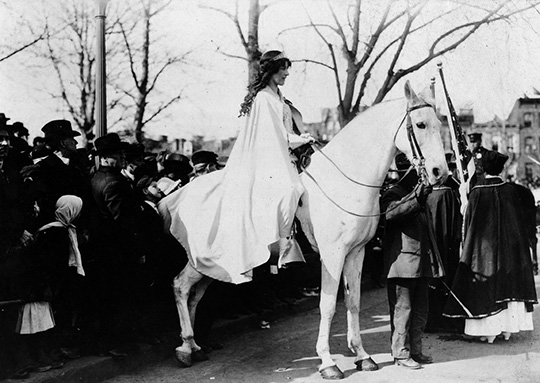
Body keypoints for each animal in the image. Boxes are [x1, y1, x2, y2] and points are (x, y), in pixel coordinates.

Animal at [159, 79, 448, 380]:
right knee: (180, 286)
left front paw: (362, 355)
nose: (441, 172)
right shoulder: (332, 256)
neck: (343, 182)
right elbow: (328, 305)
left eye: (440, 123)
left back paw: (194, 346)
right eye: (420, 125)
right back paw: (185, 348)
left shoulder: (356, 253)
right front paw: (328, 362)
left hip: (215, 265)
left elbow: (353, 301)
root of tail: (177, 195)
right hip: (203, 259)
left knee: (195, 295)